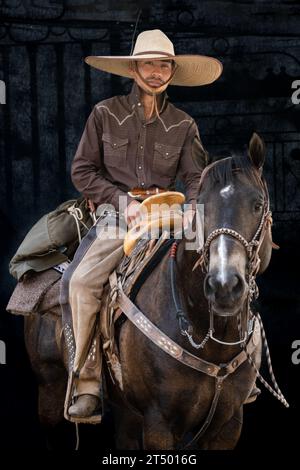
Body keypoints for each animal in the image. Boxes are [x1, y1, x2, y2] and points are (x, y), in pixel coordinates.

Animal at [24, 134, 276, 450]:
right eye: (201, 206)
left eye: (257, 204)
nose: (224, 285)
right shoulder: (159, 423)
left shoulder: (229, 425)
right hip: (50, 392)